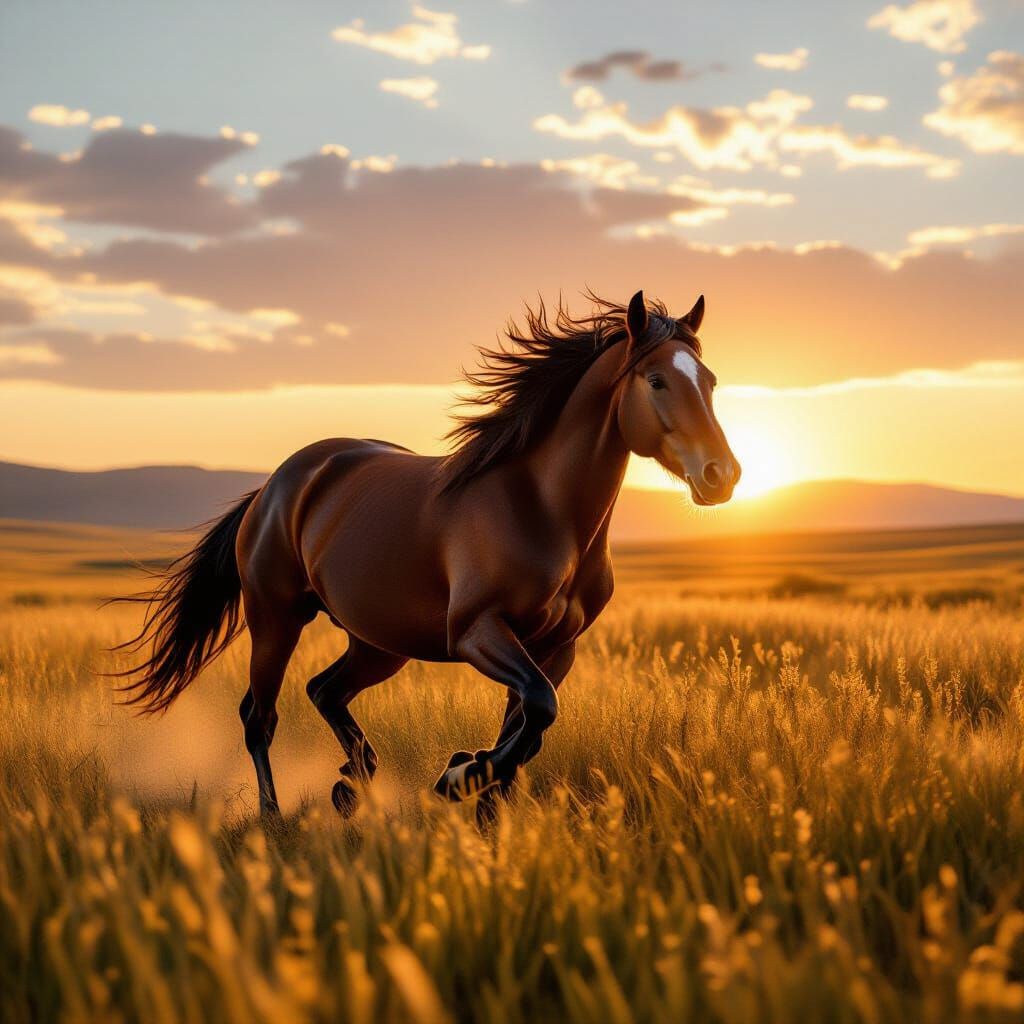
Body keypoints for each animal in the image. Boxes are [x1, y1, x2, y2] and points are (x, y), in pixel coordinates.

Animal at [116, 290, 740, 821]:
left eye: (709, 381)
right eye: (657, 380)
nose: (721, 475)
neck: (539, 508)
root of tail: (276, 485)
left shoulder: (556, 648)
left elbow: (529, 727)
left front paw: (481, 800)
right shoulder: (477, 632)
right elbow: (537, 710)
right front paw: (458, 777)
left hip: (379, 643)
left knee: (324, 690)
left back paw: (354, 782)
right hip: (276, 618)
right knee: (259, 716)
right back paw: (276, 817)